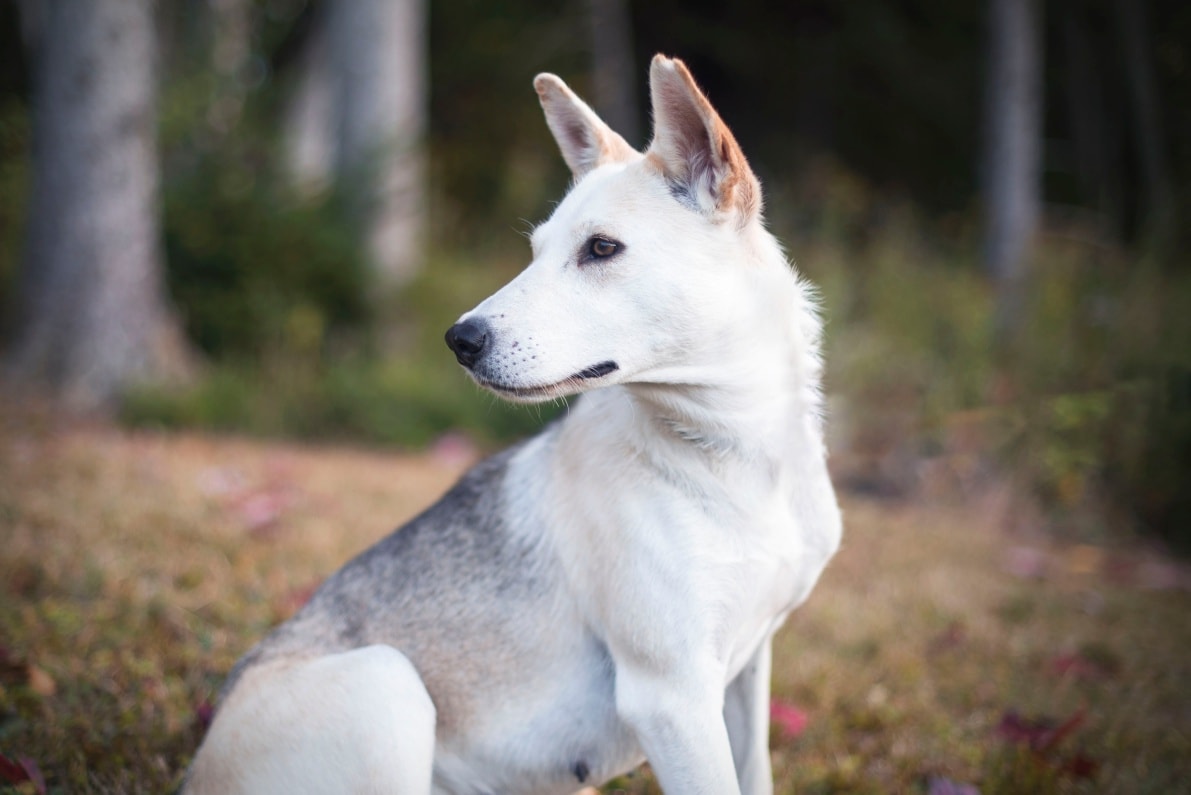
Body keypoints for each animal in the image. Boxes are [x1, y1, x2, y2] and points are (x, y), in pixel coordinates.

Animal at [184, 54, 842, 795]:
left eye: (601, 248)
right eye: (535, 251)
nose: (459, 340)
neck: (741, 459)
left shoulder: (746, 670)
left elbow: (754, 771)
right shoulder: (671, 698)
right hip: (390, 681)